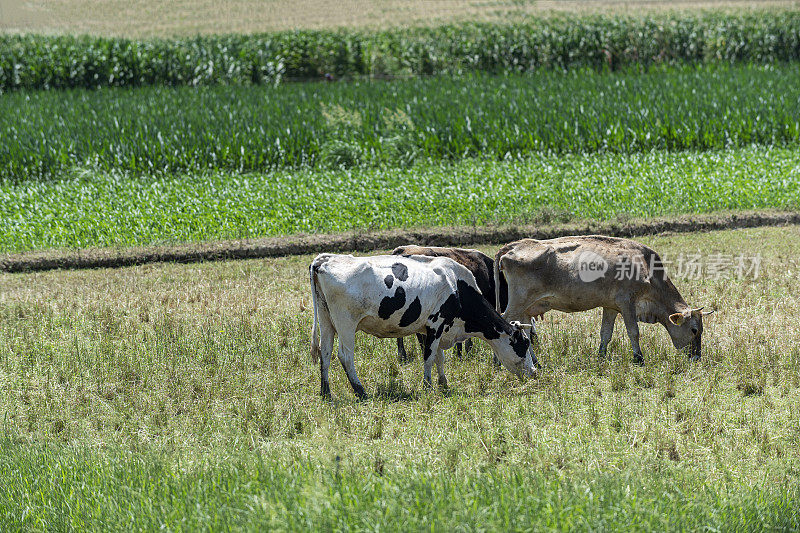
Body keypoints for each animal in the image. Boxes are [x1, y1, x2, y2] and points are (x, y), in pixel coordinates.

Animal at [306, 254, 536, 400]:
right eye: (524, 344)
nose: (534, 372)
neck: (456, 285)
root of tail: (326, 259)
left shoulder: (433, 329)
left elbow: (439, 358)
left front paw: (443, 383)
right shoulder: (436, 324)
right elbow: (429, 358)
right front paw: (427, 386)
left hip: (327, 321)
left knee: (325, 353)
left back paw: (326, 393)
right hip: (346, 323)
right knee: (345, 356)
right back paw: (361, 391)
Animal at [496, 235, 716, 364]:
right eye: (694, 329)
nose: (697, 357)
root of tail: (513, 245)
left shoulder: (611, 306)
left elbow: (605, 334)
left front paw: (601, 355)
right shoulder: (627, 303)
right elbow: (633, 332)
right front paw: (638, 358)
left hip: (527, 307)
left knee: (523, 329)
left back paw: (535, 361)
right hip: (518, 303)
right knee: (504, 323)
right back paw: (500, 360)